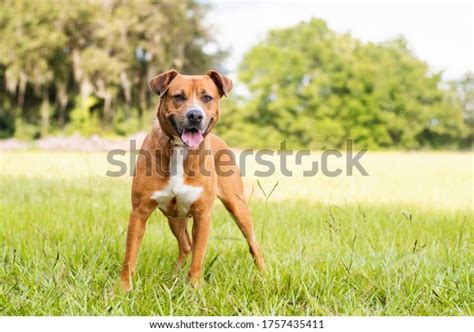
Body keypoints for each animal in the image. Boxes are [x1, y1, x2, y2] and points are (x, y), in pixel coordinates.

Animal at [120, 68, 264, 290]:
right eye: (178, 96)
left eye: (207, 98)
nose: (195, 115)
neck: (180, 149)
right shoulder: (139, 212)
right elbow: (129, 257)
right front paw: (122, 290)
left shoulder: (202, 215)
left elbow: (198, 258)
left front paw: (194, 290)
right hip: (174, 216)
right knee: (186, 245)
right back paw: (174, 275)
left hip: (238, 207)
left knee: (254, 245)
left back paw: (265, 278)